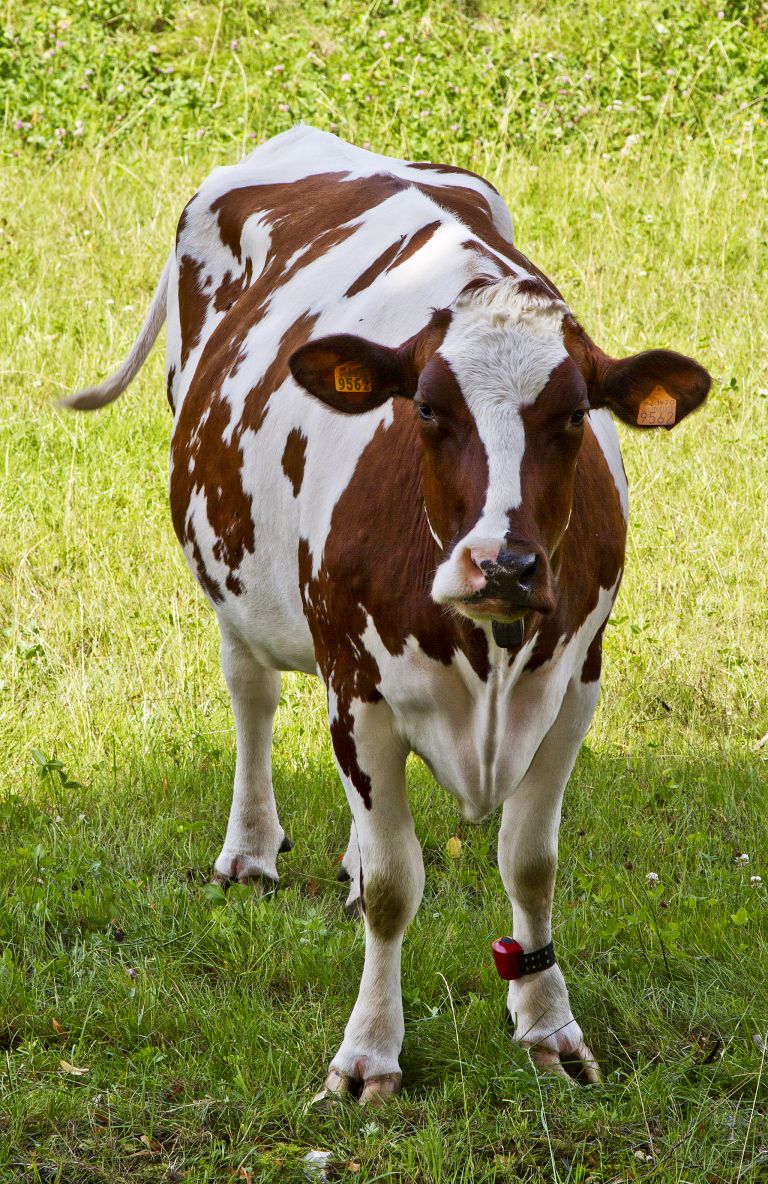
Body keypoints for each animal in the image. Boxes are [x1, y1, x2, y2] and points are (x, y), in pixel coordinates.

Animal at [64, 127, 705, 1098]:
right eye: (428, 410)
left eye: (572, 417)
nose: (503, 563)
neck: (487, 661)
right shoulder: (356, 687)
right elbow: (402, 887)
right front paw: (367, 1054)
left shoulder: (574, 688)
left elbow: (532, 863)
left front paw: (549, 1027)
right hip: (233, 573)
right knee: (251, 695)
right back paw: (251, 850)